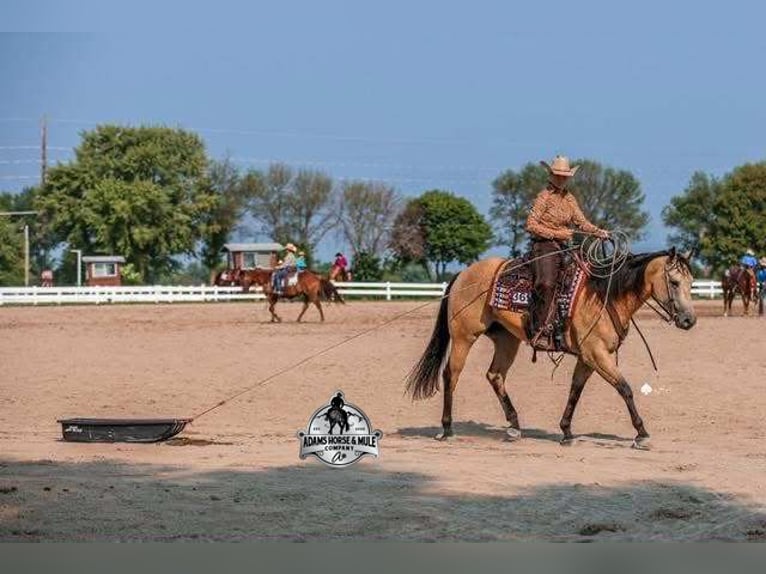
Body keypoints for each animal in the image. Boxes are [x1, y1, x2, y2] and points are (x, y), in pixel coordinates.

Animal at [406, 247, 697, 449]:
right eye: (674, 282)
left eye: (691, 282)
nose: (689, 321)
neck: (603, 296)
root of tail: (463, 274)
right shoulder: (597, 354)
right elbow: (624, 388)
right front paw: (641, 433)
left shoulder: (588, 358)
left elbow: (575, 391)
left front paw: (566, 432)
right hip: (464, 337)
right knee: (450, 376)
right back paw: (447, 429)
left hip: (507, 340)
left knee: (495, 375)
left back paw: (514, 426)